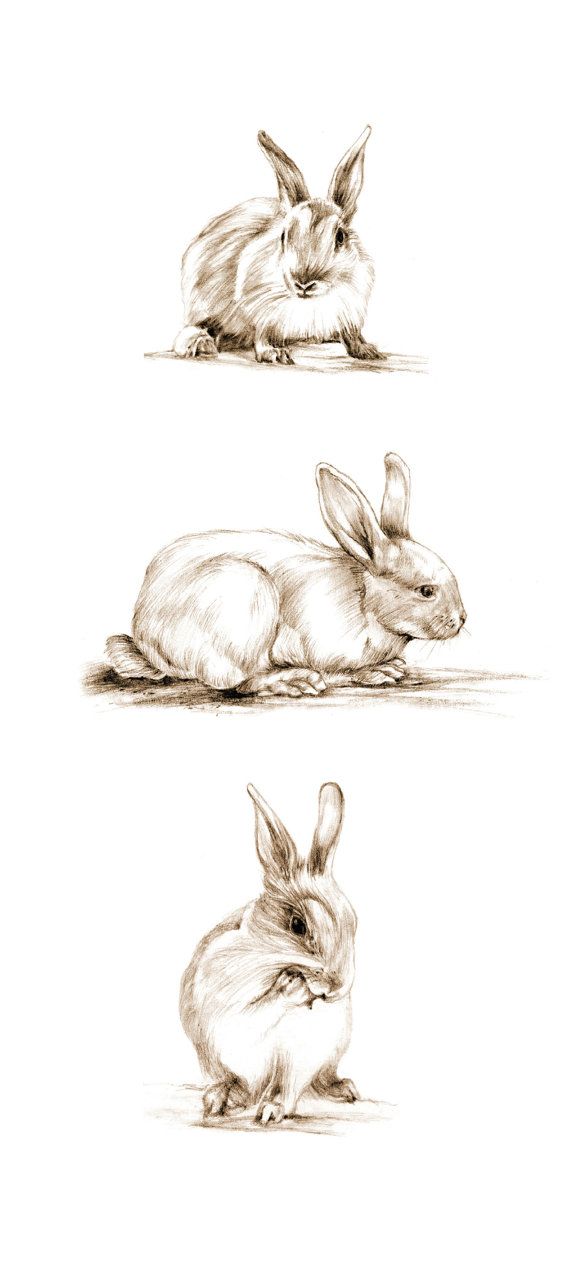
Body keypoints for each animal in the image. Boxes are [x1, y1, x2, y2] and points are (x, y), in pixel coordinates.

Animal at [105, 453, 466, 698]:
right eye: (426, 591)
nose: (461, 619)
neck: (366, 603)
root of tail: (147, 640)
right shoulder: (319, 647)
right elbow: (335, 673)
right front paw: (380, 672)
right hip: (246, 599)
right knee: (236, 681)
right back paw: (295, 681)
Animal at [172, 126, 384, 365]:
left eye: (340, 237)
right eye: (283, 236)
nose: (303, 284)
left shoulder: (349, 310)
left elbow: (351, 333)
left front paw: (366, 350)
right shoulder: (261, 306)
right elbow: (263, 332)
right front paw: (274, 353)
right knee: (200, 326)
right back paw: (201, 344)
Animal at [179, 781, 359, 1125]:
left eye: (353, 923)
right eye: (298, 925)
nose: (335, 987)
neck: (270, 960)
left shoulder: (298, 1053)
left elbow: (285, 1085)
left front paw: (272, 1109)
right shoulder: (224, 1004)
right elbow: (255, 1009)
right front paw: (291, 988)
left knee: (303, 1083)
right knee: (236, 1083)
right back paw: (220, 1099)